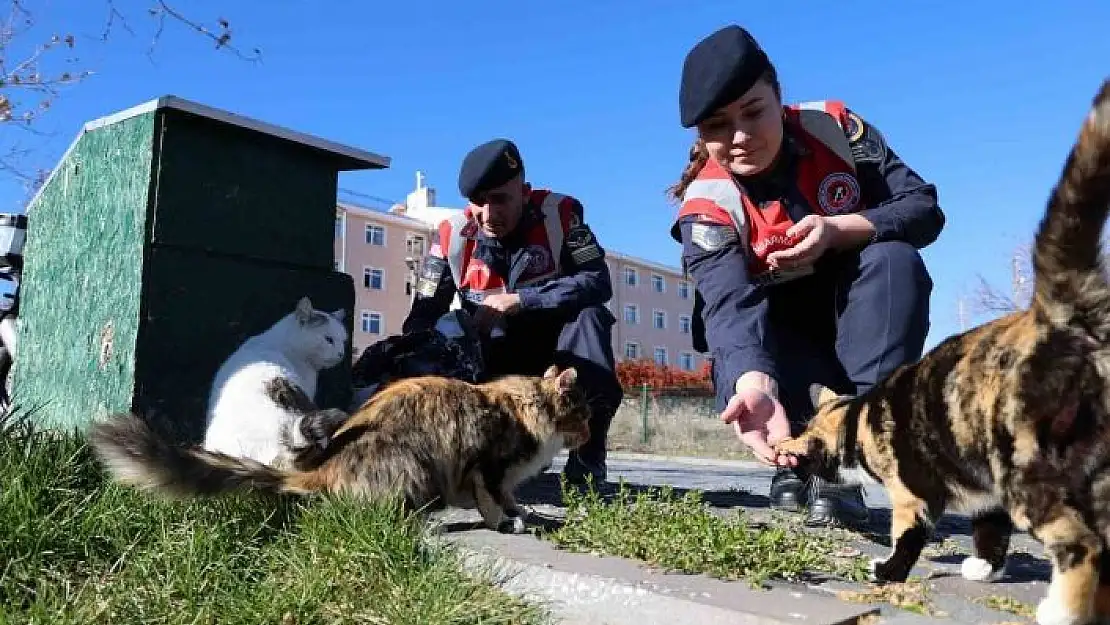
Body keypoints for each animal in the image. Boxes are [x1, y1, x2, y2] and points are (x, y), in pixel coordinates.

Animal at [88, 364, 590, 535]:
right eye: (584, 414)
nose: (588, 433)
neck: (527, 406)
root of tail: (321, 469)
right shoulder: (489, 464)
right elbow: (493, 500)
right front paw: (509, 522)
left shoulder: (495, 474)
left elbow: (509, 498)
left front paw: (523, 514)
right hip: (417, 467)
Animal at [772, 78, 1110, 625]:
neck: (856, 419)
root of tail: (1066, 315)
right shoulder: (983, 487)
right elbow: (990, 528)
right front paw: (984, 567)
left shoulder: (912, 493)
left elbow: (909, 536)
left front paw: (887, 571)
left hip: (1034, 470)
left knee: (1083, 544)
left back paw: (1062, 609)